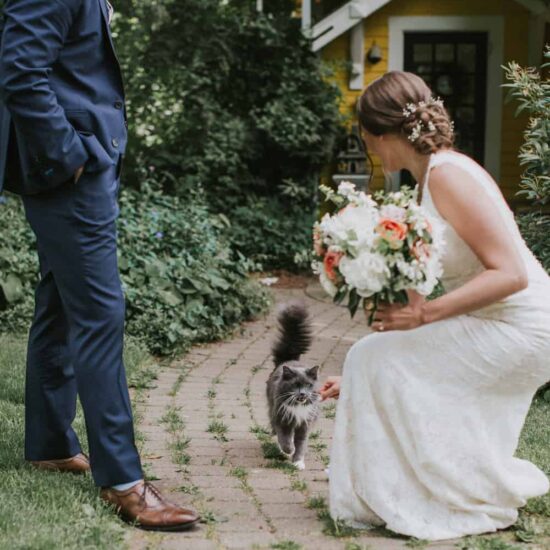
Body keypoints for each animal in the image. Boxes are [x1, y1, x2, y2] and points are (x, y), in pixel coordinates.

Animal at [266, 304, 322, 472]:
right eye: (295, 384)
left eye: (308, 385)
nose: (302, 393)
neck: (298, 407)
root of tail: (288, 360)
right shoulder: (282, 419)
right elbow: (285, 439)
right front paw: (288, 450)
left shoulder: (304, 425)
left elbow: (301, 444)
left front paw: (298, 462)